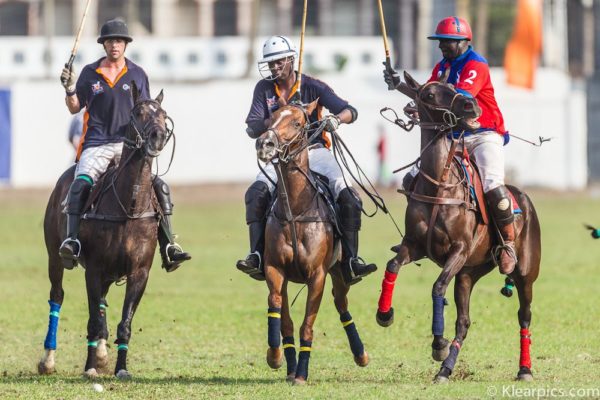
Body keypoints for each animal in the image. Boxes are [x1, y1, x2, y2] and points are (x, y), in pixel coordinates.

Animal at [37, 83, 170, 378]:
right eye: (138, 112)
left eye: (164, 114)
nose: (158, 136)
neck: (129, 206)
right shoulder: (95, 269)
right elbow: (92, 321)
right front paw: (89, 368)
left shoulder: (139, 272)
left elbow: (124, 323)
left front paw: (120, 368)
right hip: (55, 257)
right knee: (57, 296)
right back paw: (48, 360)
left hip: (110, 273)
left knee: (102, 304)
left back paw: (101, 354)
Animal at [254, 100, 368, 384]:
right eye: (270, 118)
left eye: (297, 123)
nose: (264, 143)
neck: (295, 210)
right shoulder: (275, 270)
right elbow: (280, 312)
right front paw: (278, 358)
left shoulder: (317, 275)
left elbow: (307, 325)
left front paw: (301, 373)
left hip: (339, 271)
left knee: (341, 305)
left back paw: (361, 354)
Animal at [376, 70, 540, 382]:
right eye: (428, 94)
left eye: (454, 86)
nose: (470, 106)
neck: (440, 184)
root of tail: (524, 197)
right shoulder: (414, 245)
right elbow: (392, 265)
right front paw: (384, 314)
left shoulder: (459, 250)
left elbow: (438, 286)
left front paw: (437, 344)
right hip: (468, 274)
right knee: (464, 321)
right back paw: (445, 370)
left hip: (525, 274)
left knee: (524, 317)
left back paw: (524, 369)